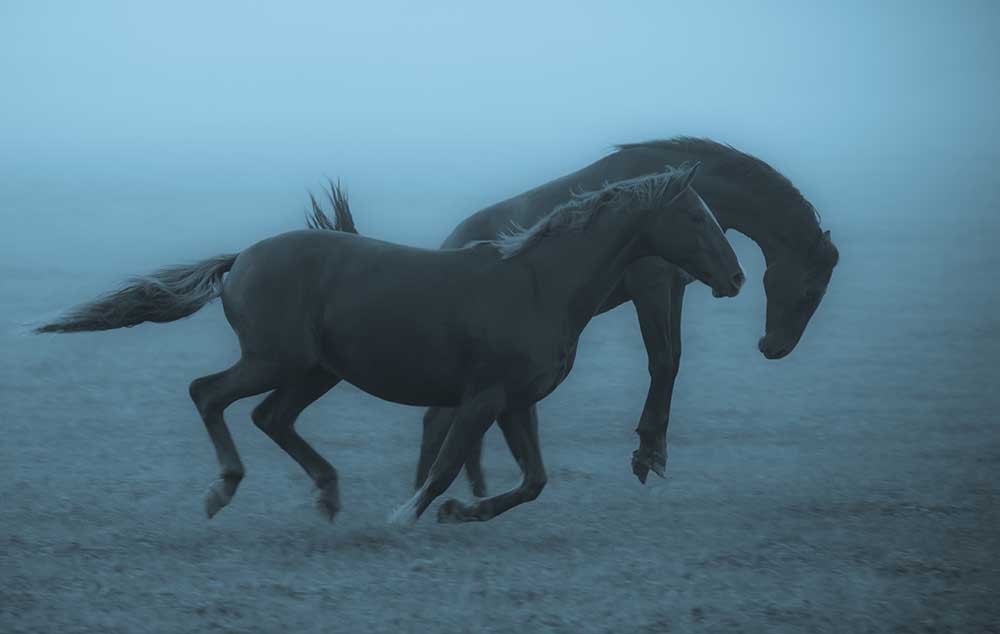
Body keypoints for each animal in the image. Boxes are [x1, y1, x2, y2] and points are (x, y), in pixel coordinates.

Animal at [35, 164, 745, 524]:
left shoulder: (517, 401)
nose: (736, 278)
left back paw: (326, 494)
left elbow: (534, 480)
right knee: (209, 395)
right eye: (694, 216)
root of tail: (241, 261)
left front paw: (462, 512)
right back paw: (224, 490)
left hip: (314, 371)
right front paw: (408, 515)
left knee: (271, 418)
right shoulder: (483, 397)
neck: (538, 284)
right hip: (273, 360)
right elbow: (447, 462)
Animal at [401, 137, 840, 495]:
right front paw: (647, 453)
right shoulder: (651, 291)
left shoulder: (674, 289)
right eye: (810, 292)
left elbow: (673, 359)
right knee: (437, 420)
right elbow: (662, 361)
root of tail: (451, 243)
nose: (775, 347)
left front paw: (655, 448)